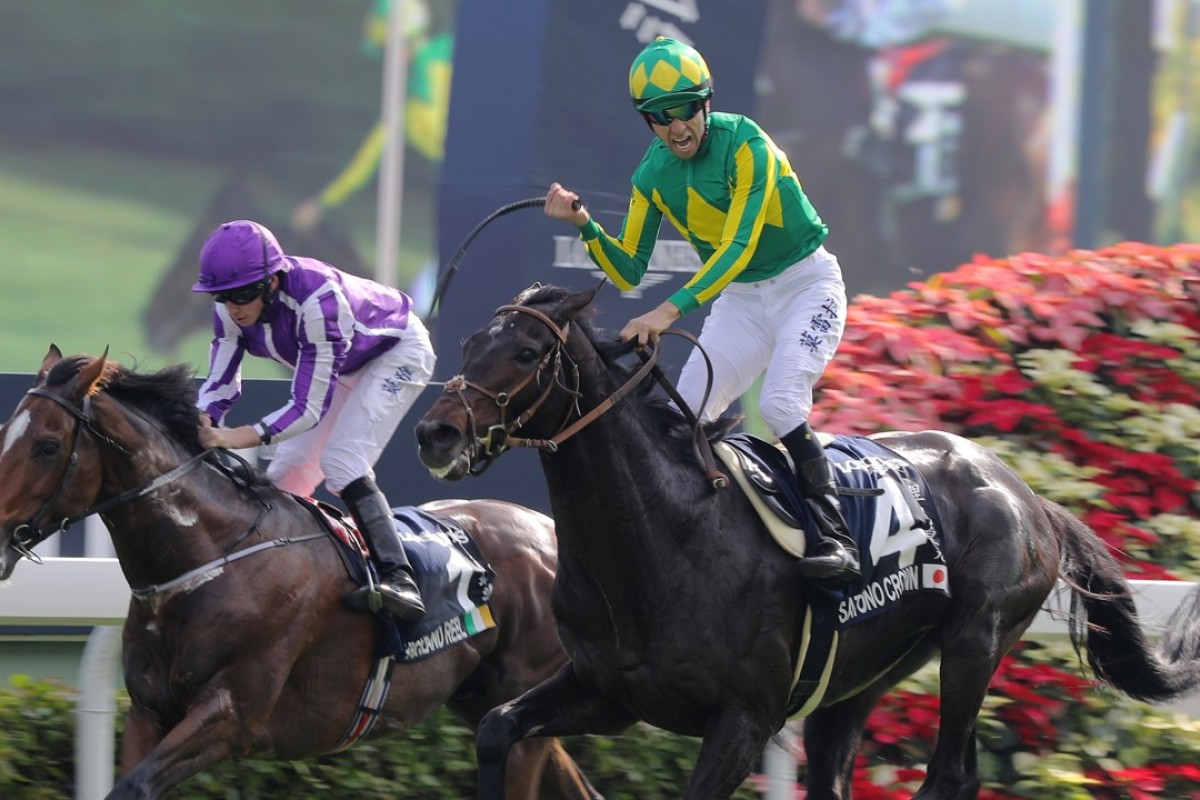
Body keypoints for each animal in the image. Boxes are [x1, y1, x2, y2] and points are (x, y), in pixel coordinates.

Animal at [0, 345, 600, 800]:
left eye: (48, 446)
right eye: (7, 430)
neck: (209, 558)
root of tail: (547, 530)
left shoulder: (231, 713)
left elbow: (135, 786)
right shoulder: (150, 711)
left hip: (521, 701)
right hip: (487, 704)